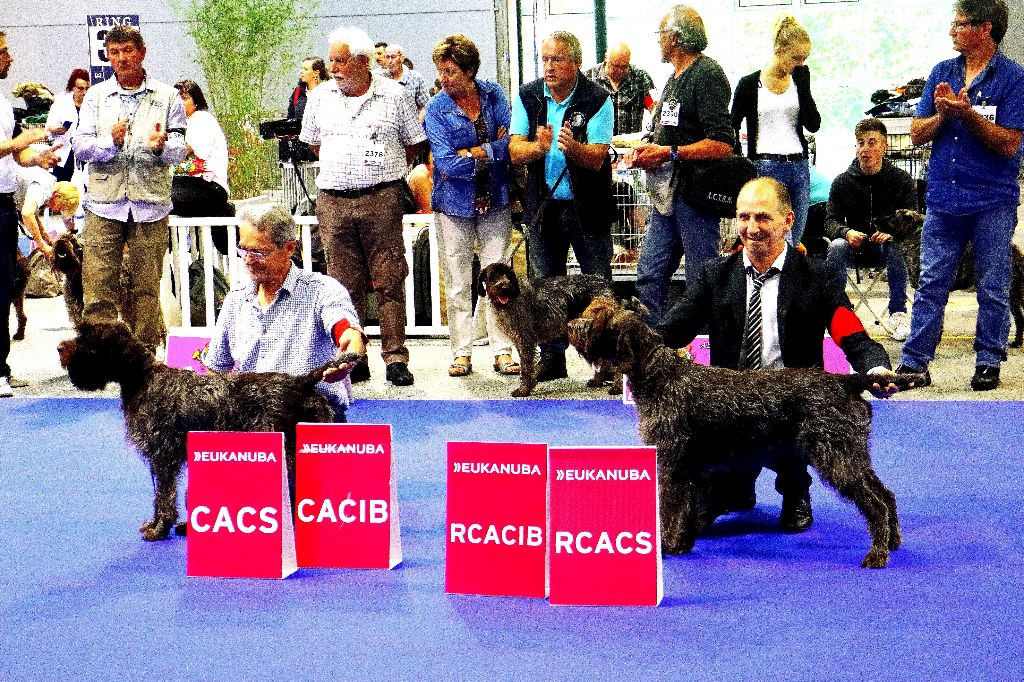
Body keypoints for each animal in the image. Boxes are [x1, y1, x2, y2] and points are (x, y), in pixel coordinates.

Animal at [58, 321, 364, 540]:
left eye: (88, 340)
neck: (141, 378)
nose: (60, 348)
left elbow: (163, 497)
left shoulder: (162, 456)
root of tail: (300, 382)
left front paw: (159, 529)